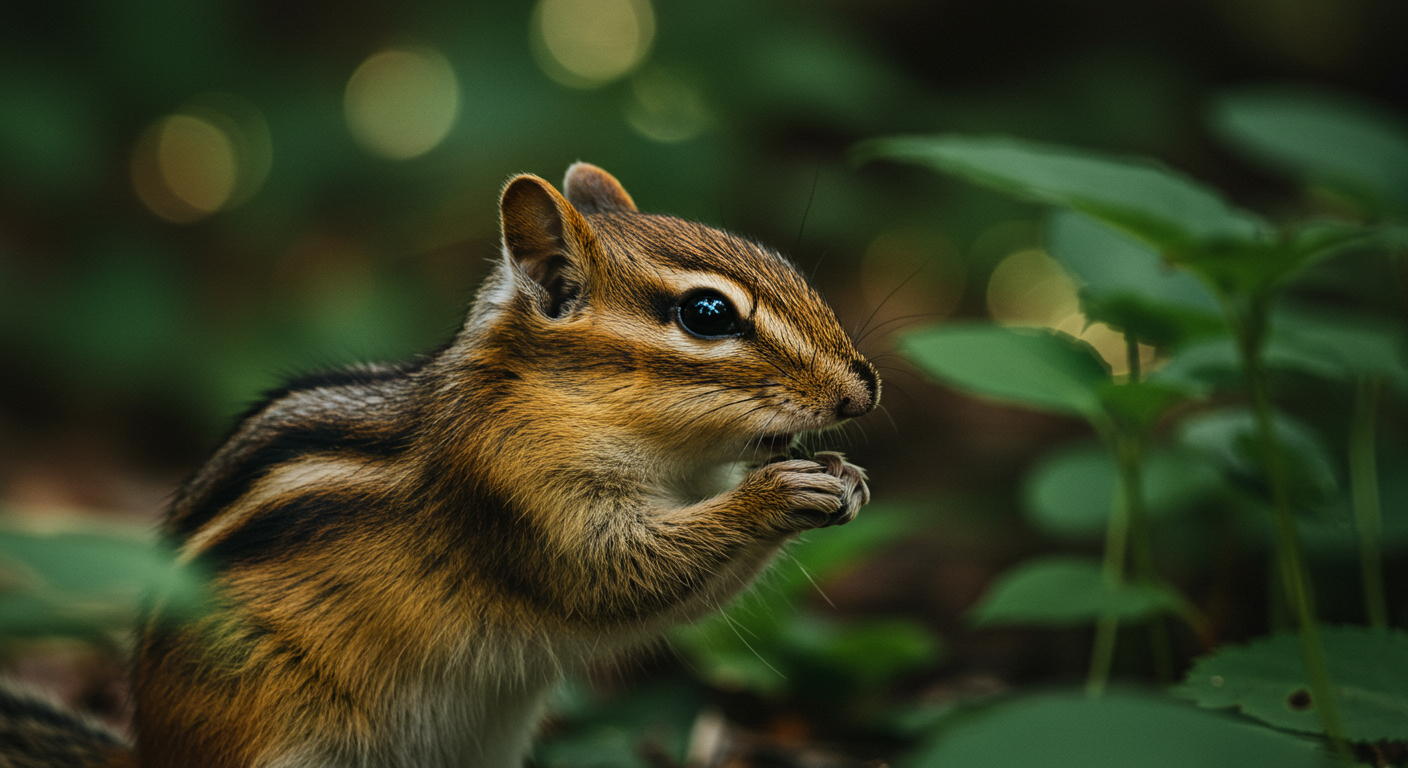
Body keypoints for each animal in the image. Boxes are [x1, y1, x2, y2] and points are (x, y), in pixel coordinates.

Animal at [0, 162, 879, 768]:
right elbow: (615, 576)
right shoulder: (512, 488)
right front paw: (780, 494)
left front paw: (844, 476)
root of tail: (148, 752)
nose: (864, 386)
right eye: (706, 314)